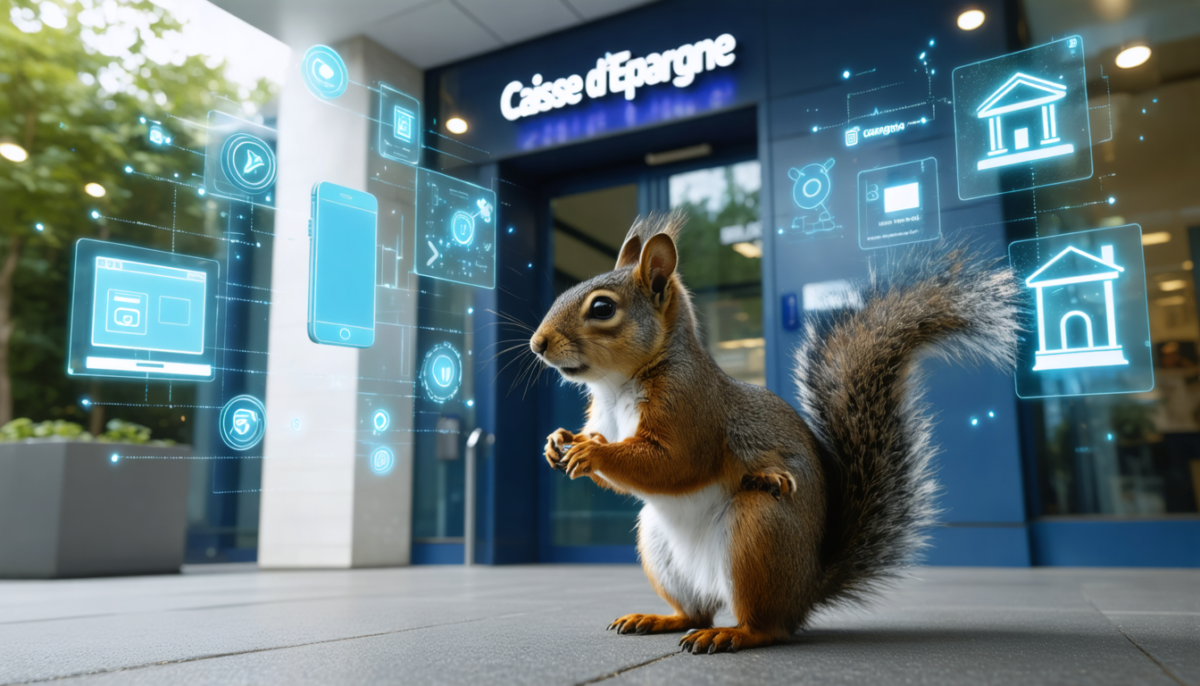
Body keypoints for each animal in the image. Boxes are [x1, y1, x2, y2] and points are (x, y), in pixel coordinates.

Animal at [529, 211, 1019, 654]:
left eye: (603, 308)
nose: (537, 343)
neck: (616, 386)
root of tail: (807, 588)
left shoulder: (691, 408)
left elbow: (676, 462)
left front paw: (593, 453)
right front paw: (558, 443)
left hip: (760, 533)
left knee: (767, 626)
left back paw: (732, 634)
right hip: (659, 548)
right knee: (694, 610)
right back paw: (658, 619)